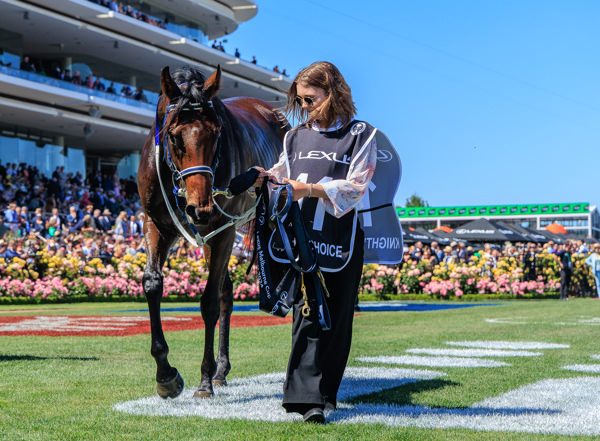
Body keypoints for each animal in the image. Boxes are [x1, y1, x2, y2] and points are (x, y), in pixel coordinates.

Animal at [139, 65, 290, 398]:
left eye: (217, 133)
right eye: (174, 136)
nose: (201, 208)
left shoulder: (222, 229)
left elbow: (208, 302)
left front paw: (205, 380)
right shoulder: (157, 224)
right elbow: (153, 284)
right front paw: (166, 375)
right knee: (226, 293)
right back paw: (222, 369)